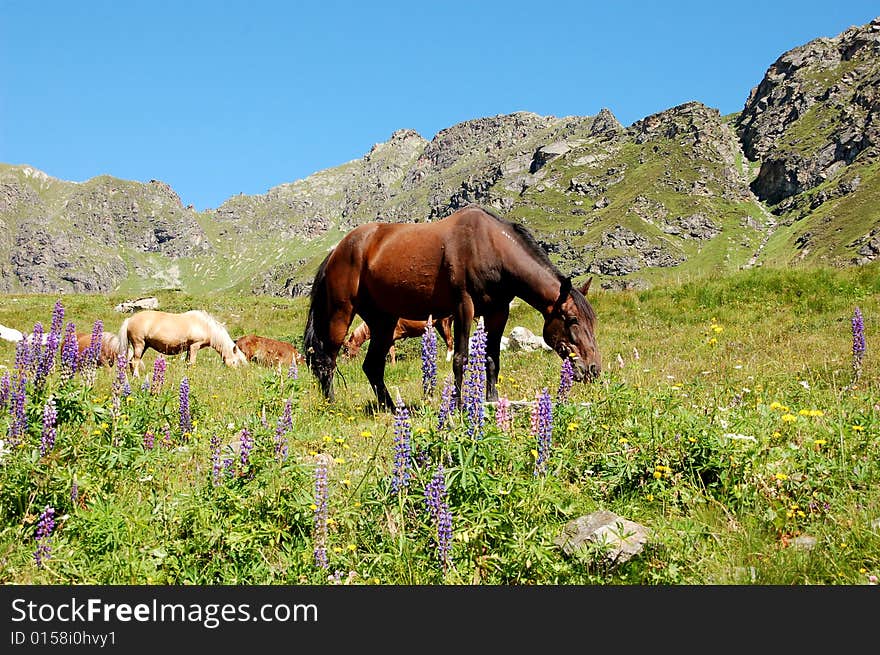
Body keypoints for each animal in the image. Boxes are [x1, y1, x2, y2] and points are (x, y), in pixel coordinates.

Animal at [116, 310, 248, 376]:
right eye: (235, 361)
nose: (235, 373)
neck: (204, 325)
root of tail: (130, 319)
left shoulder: (189, 348)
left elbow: (187, 363)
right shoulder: (194, 346)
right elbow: (192, 363)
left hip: (144, 346)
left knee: (132, 361)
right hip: (139, 344)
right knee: (134, 361)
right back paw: (136, 377)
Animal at [300, 205, 600, 410]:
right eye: (572, 319)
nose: (594, 370)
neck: (490, 246)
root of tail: (337, 251)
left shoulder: (498, 312)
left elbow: (492, 358)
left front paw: (491, 400)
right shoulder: (463, 308)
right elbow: (461, 358)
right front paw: (457, 404)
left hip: (383, 321)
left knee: (372, 366)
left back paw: (392, 408)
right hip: (341, 313)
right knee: (327, 360)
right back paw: (332, 405)